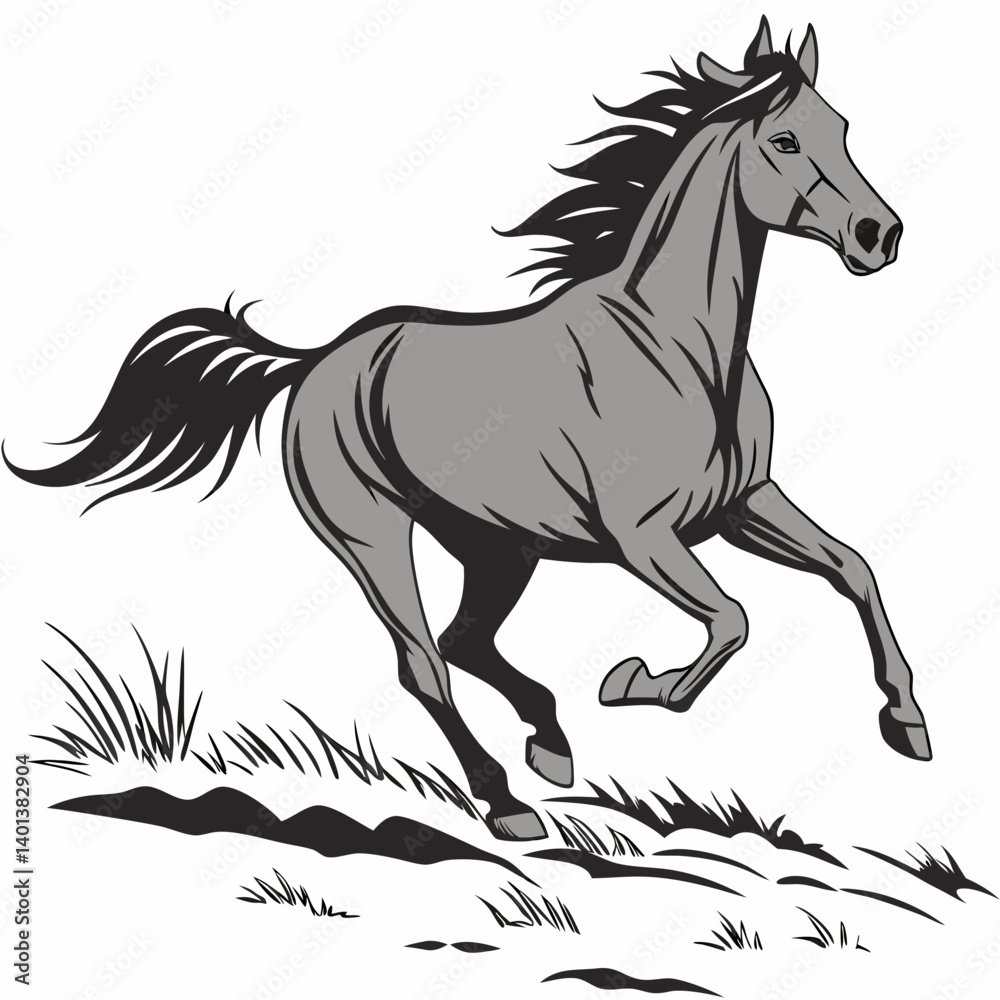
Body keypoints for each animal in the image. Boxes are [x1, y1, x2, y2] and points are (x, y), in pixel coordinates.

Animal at [5, 18, 929, 841]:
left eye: (842, 128)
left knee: (466, 640)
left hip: (499, 547)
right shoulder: (644, 537)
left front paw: (908, 722)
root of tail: (315, 363)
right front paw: (636, 684)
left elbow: (854, 569)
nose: (879, 235)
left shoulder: (744, 503)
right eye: (784, 142)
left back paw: (549, 747)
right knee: (426, 663)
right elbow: (732, 619)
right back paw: (508, 801)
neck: (682, 350)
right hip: (375, 539)